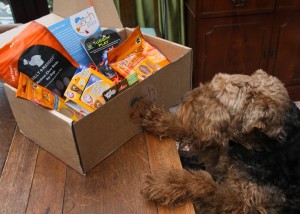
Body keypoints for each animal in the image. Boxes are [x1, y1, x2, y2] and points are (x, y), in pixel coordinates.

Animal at [140, 70, 300, 214]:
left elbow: (206, 184)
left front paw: (164, 182)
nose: (183, 99)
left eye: (218, 98)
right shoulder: (217, 155)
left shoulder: (243, 203)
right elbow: (188, 129)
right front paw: (156, 117)